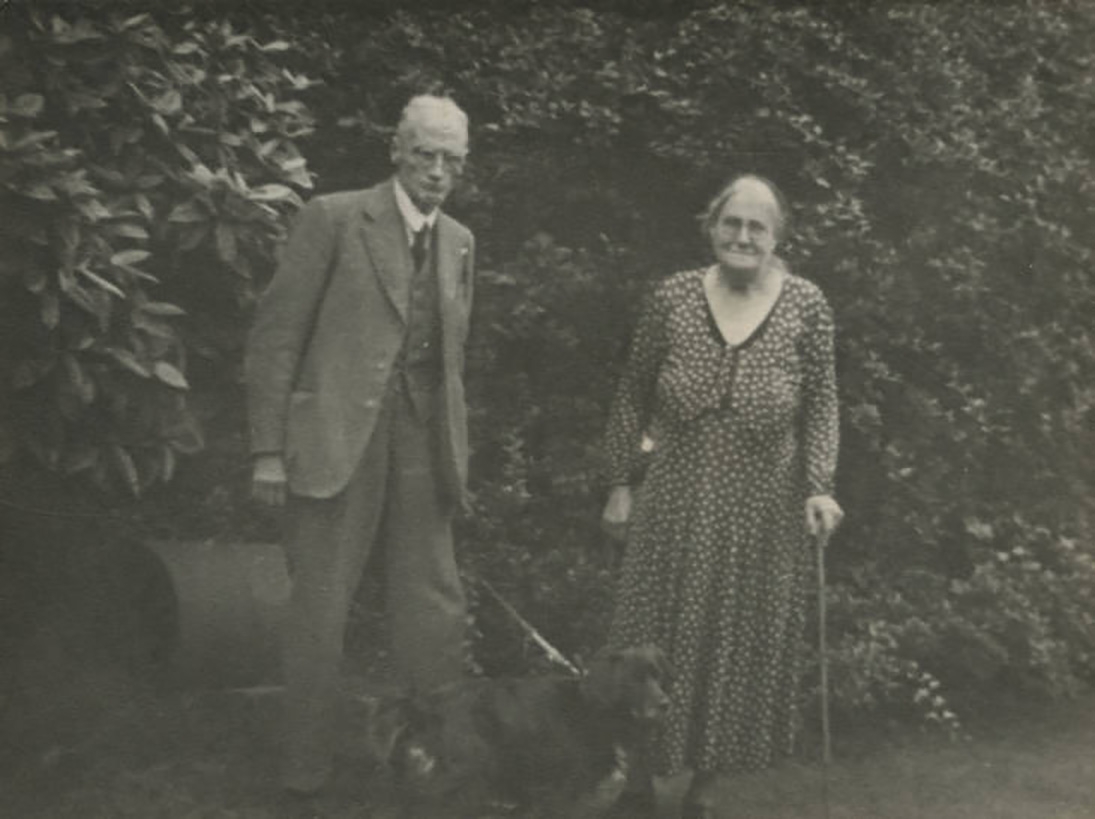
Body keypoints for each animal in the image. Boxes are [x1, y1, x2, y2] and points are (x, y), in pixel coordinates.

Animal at [365, 648, 665, 819]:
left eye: (657, 675)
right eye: (635, 679)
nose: (665, 703)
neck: (589, 705)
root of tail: (426, 704)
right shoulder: (560, 787)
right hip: (463, 775)